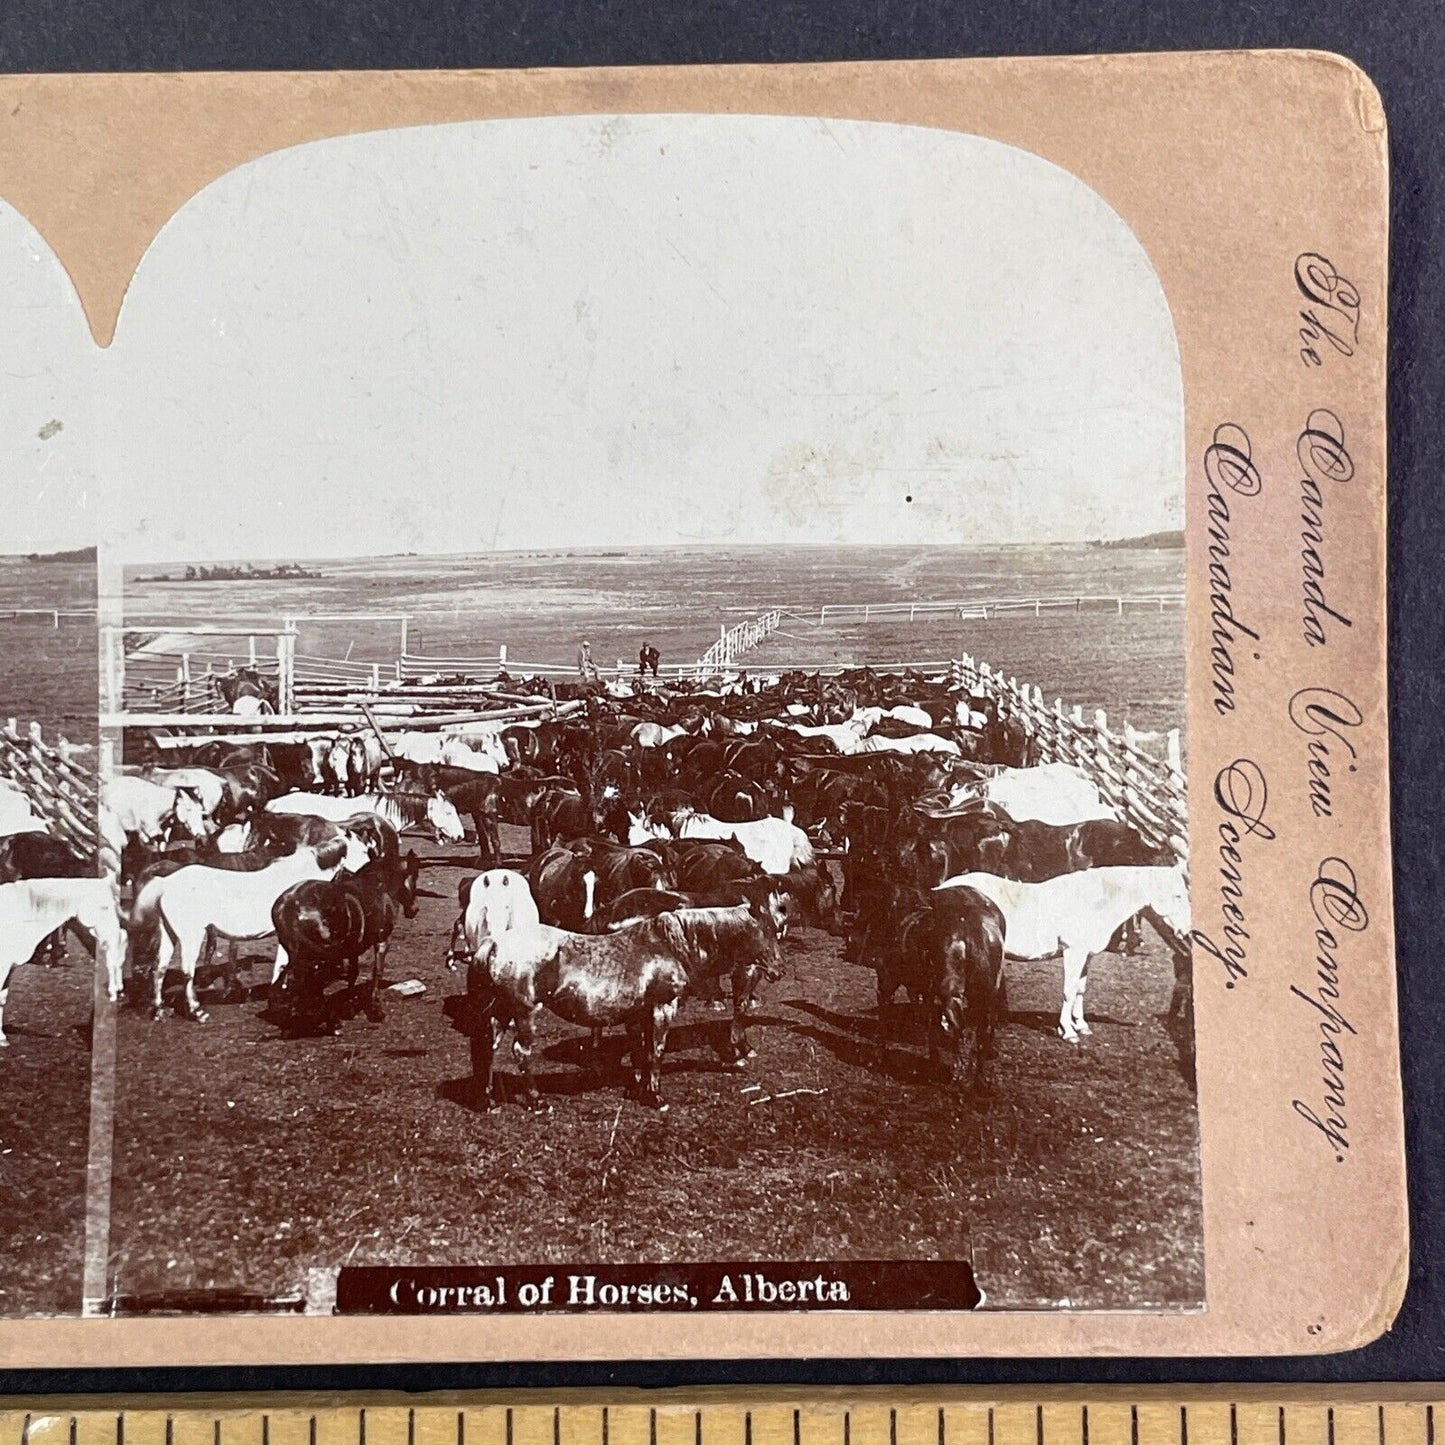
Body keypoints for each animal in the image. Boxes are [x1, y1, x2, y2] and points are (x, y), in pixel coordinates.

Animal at [130, 832, 367, 1023]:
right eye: (365, 849)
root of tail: (166, 882)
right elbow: (284, 965)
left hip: (168, 934)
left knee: (159, 968)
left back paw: (159, 1012)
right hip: (191, 936)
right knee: (187, 972)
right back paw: (198, 1012)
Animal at [930, 867, 1190, 1040]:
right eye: (1177, 895)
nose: (1187, 931)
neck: (1091, 900)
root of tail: (940, 889)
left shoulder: (1086, 955)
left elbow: (1080, 989)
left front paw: (1082, 1025)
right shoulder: (1073, 952)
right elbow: (1068, 991)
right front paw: (1068, 1031)